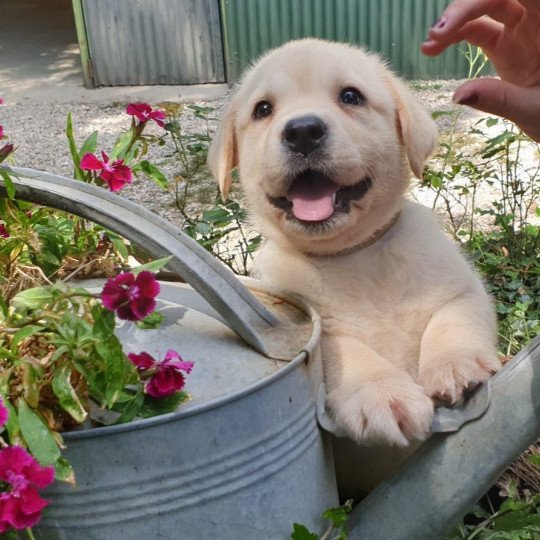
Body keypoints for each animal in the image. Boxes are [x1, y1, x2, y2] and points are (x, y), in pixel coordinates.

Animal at [208, 39, 502, 448]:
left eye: (351, 96)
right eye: (263, 109)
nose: (302, 131)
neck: (352, 255)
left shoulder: (462, 289)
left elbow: (453, 318)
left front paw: (455, 364)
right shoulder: (308, 324)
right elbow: (343, 348)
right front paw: (381, 393)